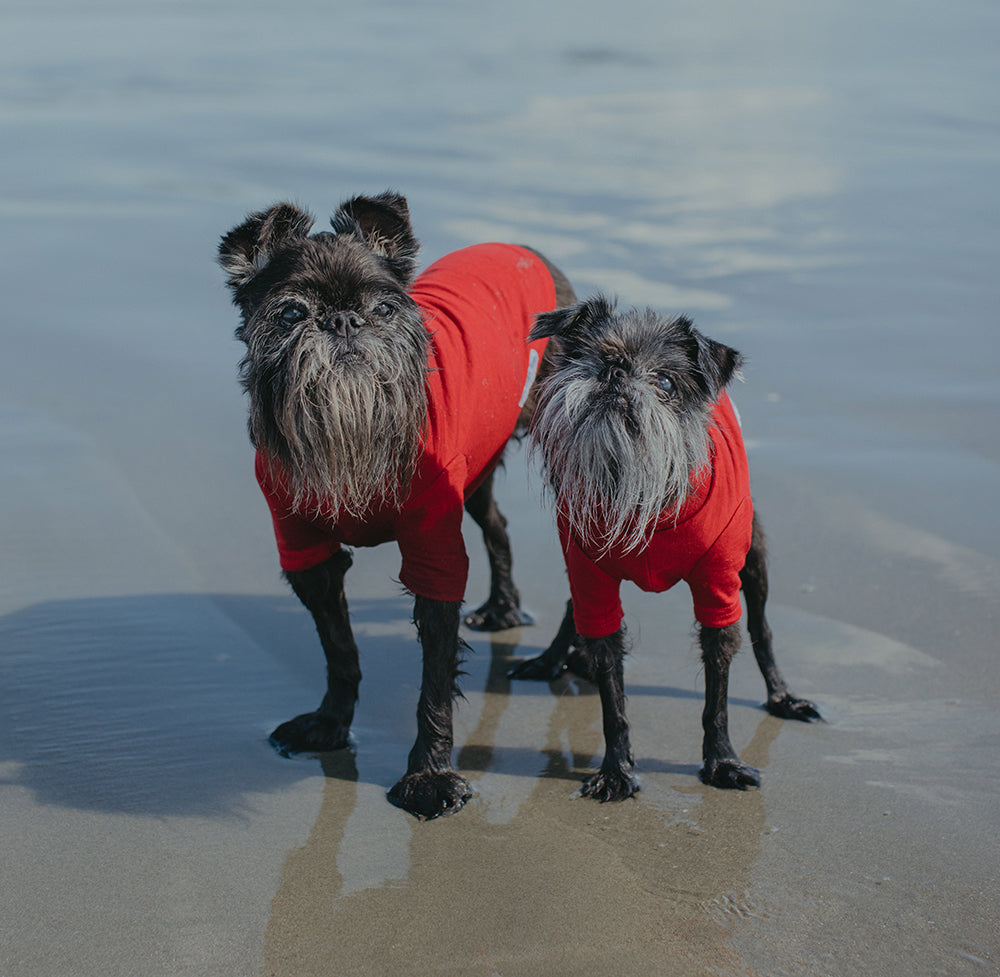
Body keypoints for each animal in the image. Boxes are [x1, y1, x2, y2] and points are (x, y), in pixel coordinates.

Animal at [221, 193, 580, 816]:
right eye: (290, 314)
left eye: (385, 308)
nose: (343, 320)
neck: (354, 430)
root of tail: (526, 250)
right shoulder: (306, 550)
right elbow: (339, 649)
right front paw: (332, 724)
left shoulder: (435, 555)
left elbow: (433, 682)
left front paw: (428, 776)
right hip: (476, 473)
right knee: (498, 525)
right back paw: (503, 608)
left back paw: (561, 656)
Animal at [508, 298, 820, 800]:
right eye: (591, 358)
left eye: (666, 382)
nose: (615, 370)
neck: (642, 493)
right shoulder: (591, 579)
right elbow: (612, 699)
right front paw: (615, 769)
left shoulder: (718, 594)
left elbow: (717, 698)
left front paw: (722, 762)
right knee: (572, 608)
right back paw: (551, 660)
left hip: (753, 561)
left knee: (763, 629)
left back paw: (783, 697)